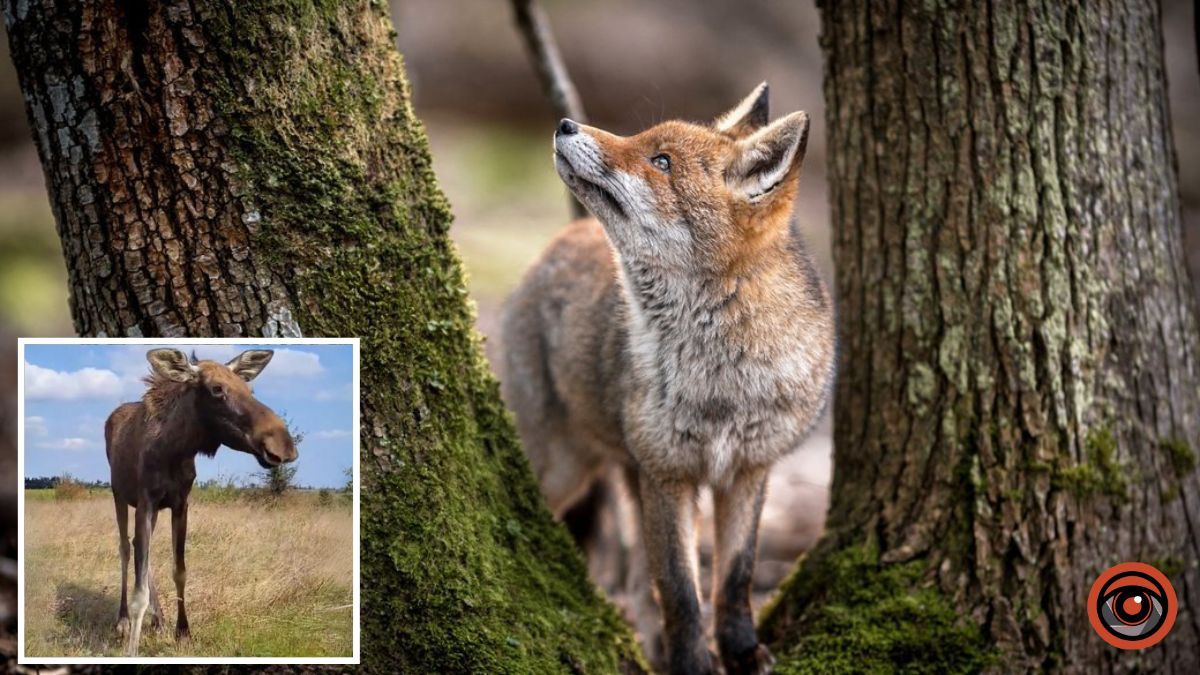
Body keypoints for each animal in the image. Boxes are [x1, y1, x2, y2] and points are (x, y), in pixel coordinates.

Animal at [105, 348, 297, 653]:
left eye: (249, 389)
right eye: (217, 389)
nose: (283, 445)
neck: (175, 449)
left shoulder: (180, 504)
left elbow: (179, 571)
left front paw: (182, 631)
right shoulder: (146, 502)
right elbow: (139, 590)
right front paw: (132, 648)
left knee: (139, 549)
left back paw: (158, 620)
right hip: (118, 495)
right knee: (125, 548)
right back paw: (122, 621)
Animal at [499, 84, 835, 672]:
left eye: (661, 162)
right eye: (642, 140)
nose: (565, 125)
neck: (720, 381)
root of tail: (562, 236)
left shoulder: (749, 470)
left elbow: (733, 578)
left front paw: (740, 652)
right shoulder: (666, 474)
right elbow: (679, 590)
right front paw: (693, 664)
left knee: (637, 585)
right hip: (562, 470)